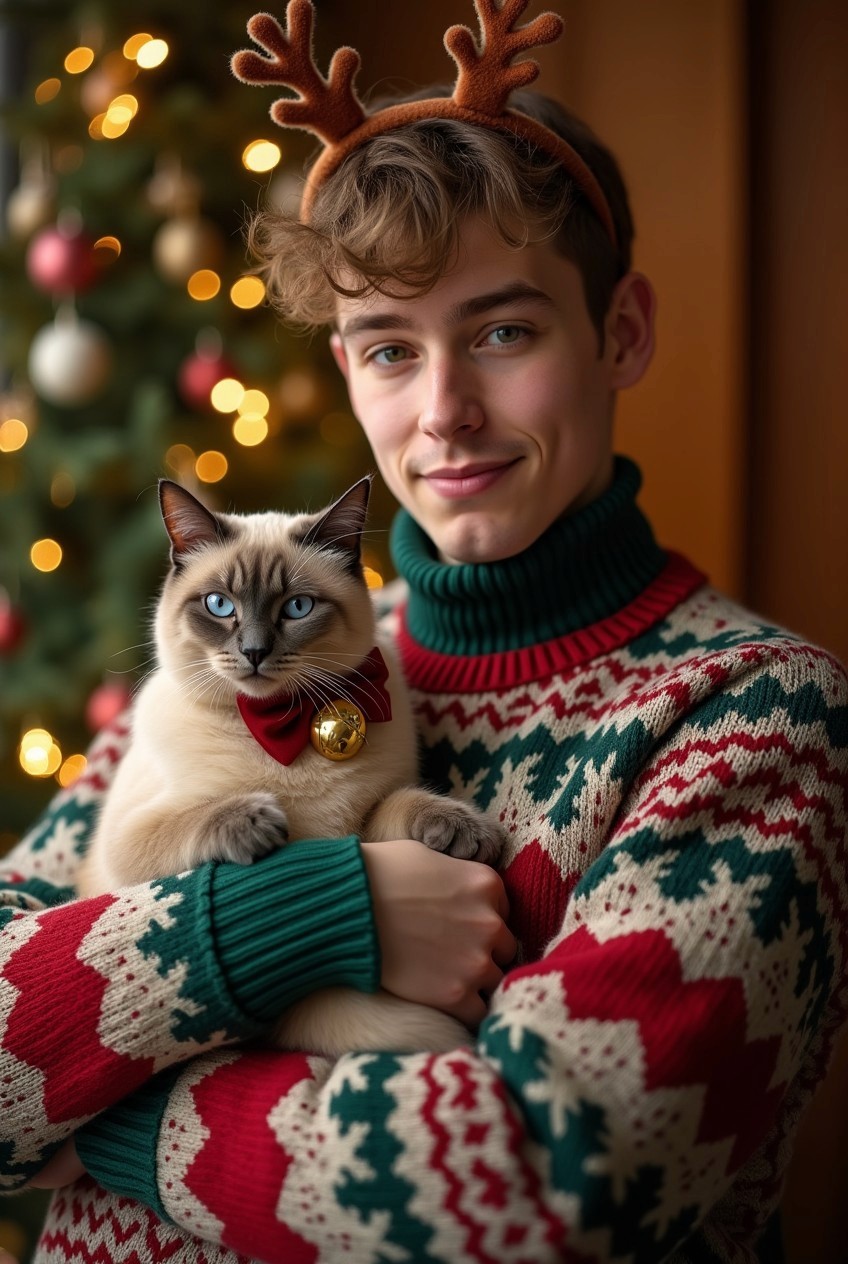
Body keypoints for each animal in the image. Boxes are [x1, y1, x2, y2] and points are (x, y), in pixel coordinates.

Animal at [78, 477, 505, 1051]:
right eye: (219, 605)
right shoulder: (128, 843)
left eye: (297, 608)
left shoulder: (363, 823)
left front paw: (464, 831)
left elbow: (408, 804)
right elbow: (200, 817)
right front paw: (257, 823)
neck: (280, 727)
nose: (255, 652)